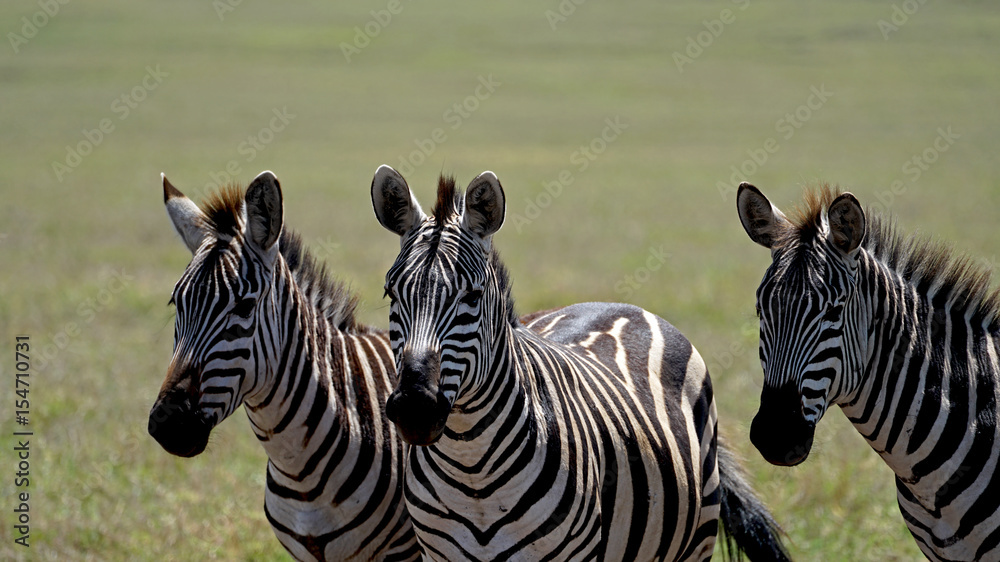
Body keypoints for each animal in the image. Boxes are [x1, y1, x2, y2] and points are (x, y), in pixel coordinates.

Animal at [370, 165, 790, 561]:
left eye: (472, 297)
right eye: (390, 294)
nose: (414, 409)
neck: (471, 468)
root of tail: (619, 305)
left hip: (696, 539)